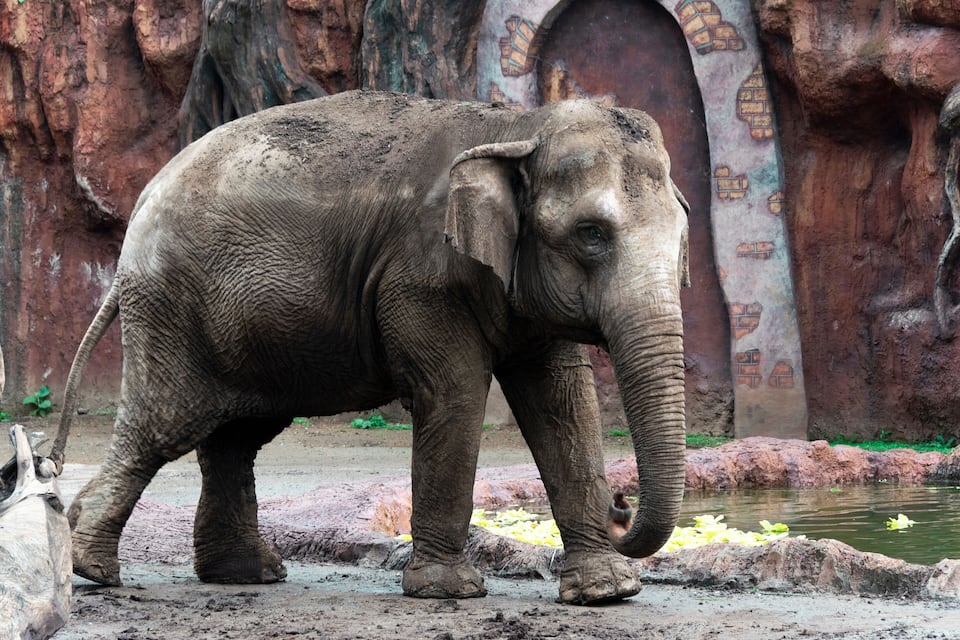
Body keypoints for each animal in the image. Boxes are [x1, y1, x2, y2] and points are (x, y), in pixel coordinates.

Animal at [50, 90, 690, 605]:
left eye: (682, 238)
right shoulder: (421, 275)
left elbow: (563, 405)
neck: (519, 124)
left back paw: (245, 575)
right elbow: (454, 394)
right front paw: (447, 593)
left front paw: (606, 593)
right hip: (172, 307)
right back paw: (94, 568)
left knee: (236, 437)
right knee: (163, 425)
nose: (621, 503)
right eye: (591, 234)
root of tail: (138, 214)